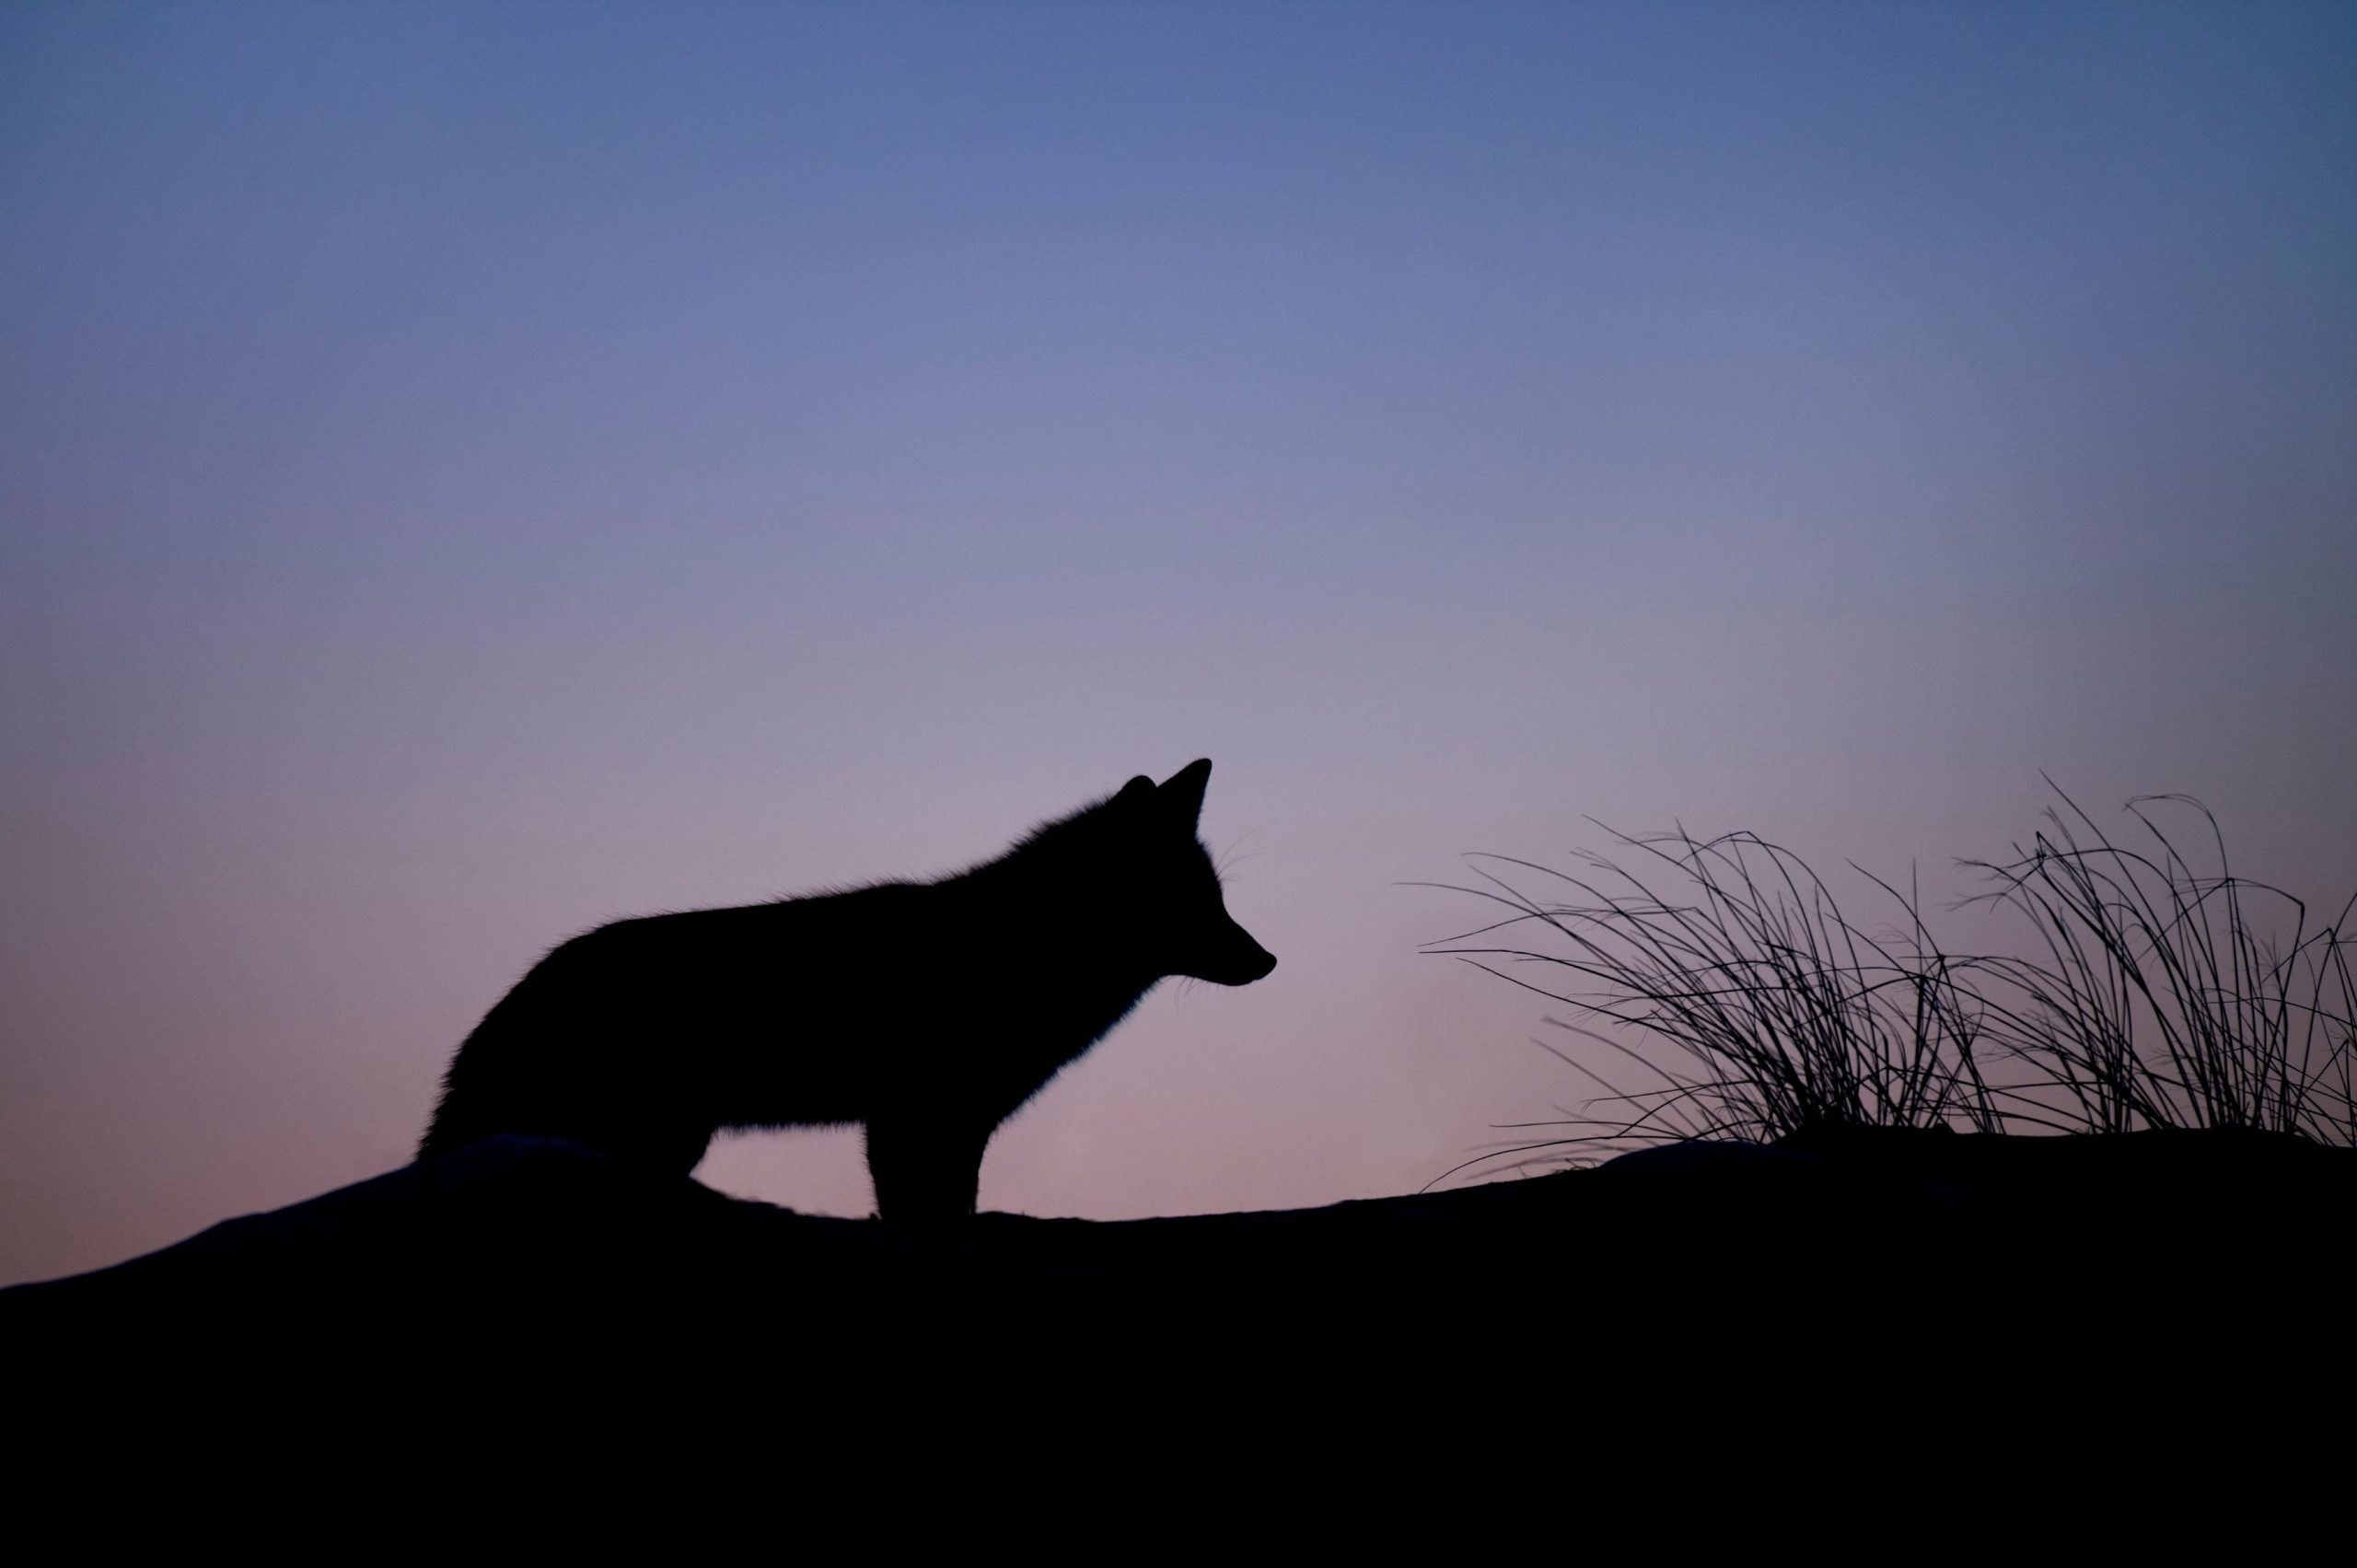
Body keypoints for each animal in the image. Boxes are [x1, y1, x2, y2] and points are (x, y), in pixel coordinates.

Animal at [419, 759, 1275, 1221]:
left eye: (1217, 899)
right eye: (1194, 902)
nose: (1268, 960)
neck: (1022, 948)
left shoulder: (952, 1124)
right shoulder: (915, 1118)